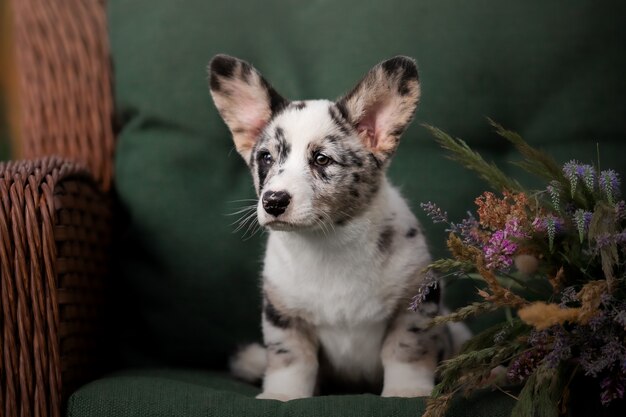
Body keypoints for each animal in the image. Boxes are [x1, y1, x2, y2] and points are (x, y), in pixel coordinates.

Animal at [207, 53, 466, 398]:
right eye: (265, 158)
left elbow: (405, 351)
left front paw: (406, 392)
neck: (328, 242)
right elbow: (292, 361)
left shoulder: (415, 303)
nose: (273, 202)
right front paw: (282, 395)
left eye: (322, 159)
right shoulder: (283, 314)